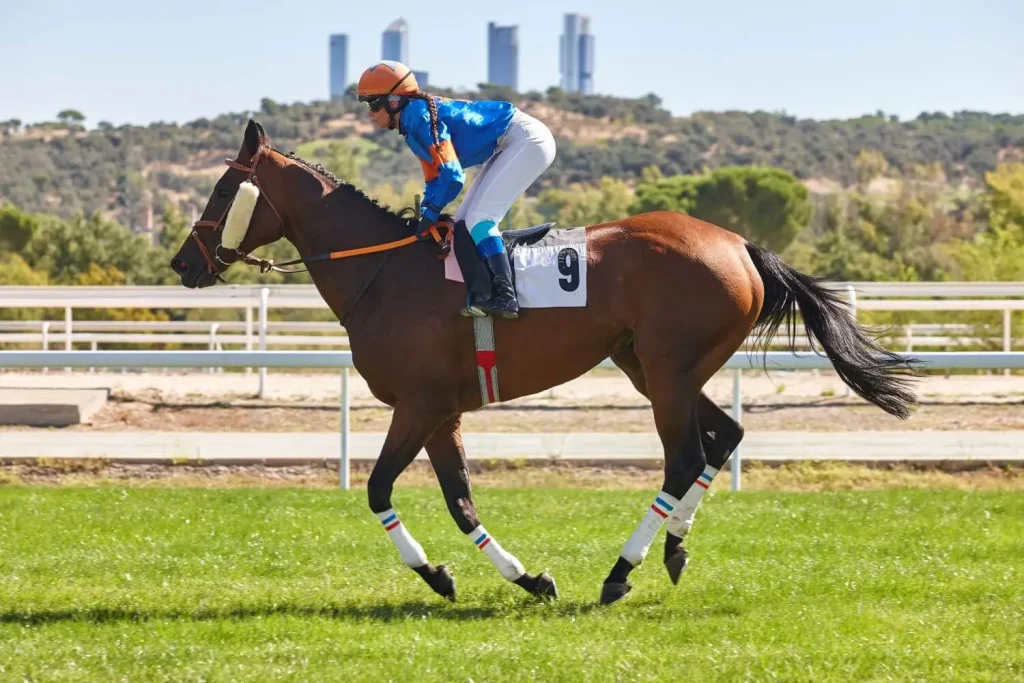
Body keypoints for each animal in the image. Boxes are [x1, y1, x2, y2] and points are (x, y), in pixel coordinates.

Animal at [169, 119, 918, 605]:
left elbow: (379, 489)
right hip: (651, 367)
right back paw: (673, 548)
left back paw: (621, 570)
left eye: (222, 191)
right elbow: (461, 502)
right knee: (725, 436)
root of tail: (738, 243)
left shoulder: (417, 404)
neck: (380, 271)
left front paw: (437, 575)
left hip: (668, 371)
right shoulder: (441, 412)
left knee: (684, 456)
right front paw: (525, 578)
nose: (182, 264)